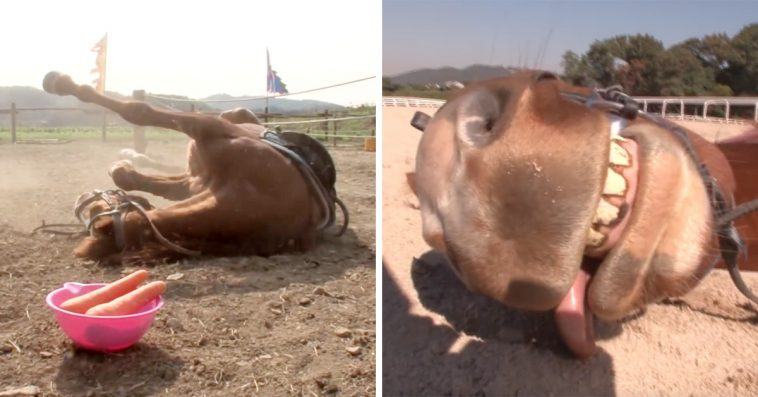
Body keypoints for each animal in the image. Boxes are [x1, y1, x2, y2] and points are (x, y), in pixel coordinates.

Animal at [43, 72, 348, 262]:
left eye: (95, 210)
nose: (83, 199)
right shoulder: (194, 182)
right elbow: (127, 176)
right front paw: (126, 166)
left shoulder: (208, 127)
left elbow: (138, 110)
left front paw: (61, 83)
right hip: (214, 142)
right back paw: (135, 155)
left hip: (217, 126)